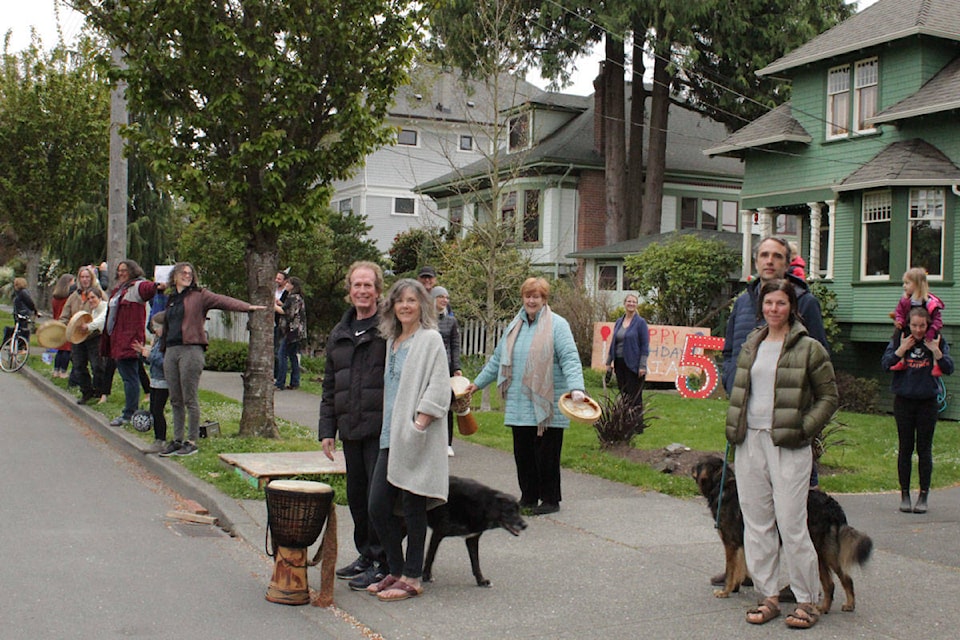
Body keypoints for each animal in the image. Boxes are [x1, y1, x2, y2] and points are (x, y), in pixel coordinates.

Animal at [692, 458, 872, 612]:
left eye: (700, 464)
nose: (691, 467)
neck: (722, 487)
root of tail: (833, 506)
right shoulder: (742, 543)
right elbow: (740, 568)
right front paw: (736, 587)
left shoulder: (730, 544)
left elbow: (731, 570)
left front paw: (725, 591)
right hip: (824, 552)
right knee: (838, 581)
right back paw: (835, 606)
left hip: (823, 551)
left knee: (838, 581)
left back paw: (834, 606)